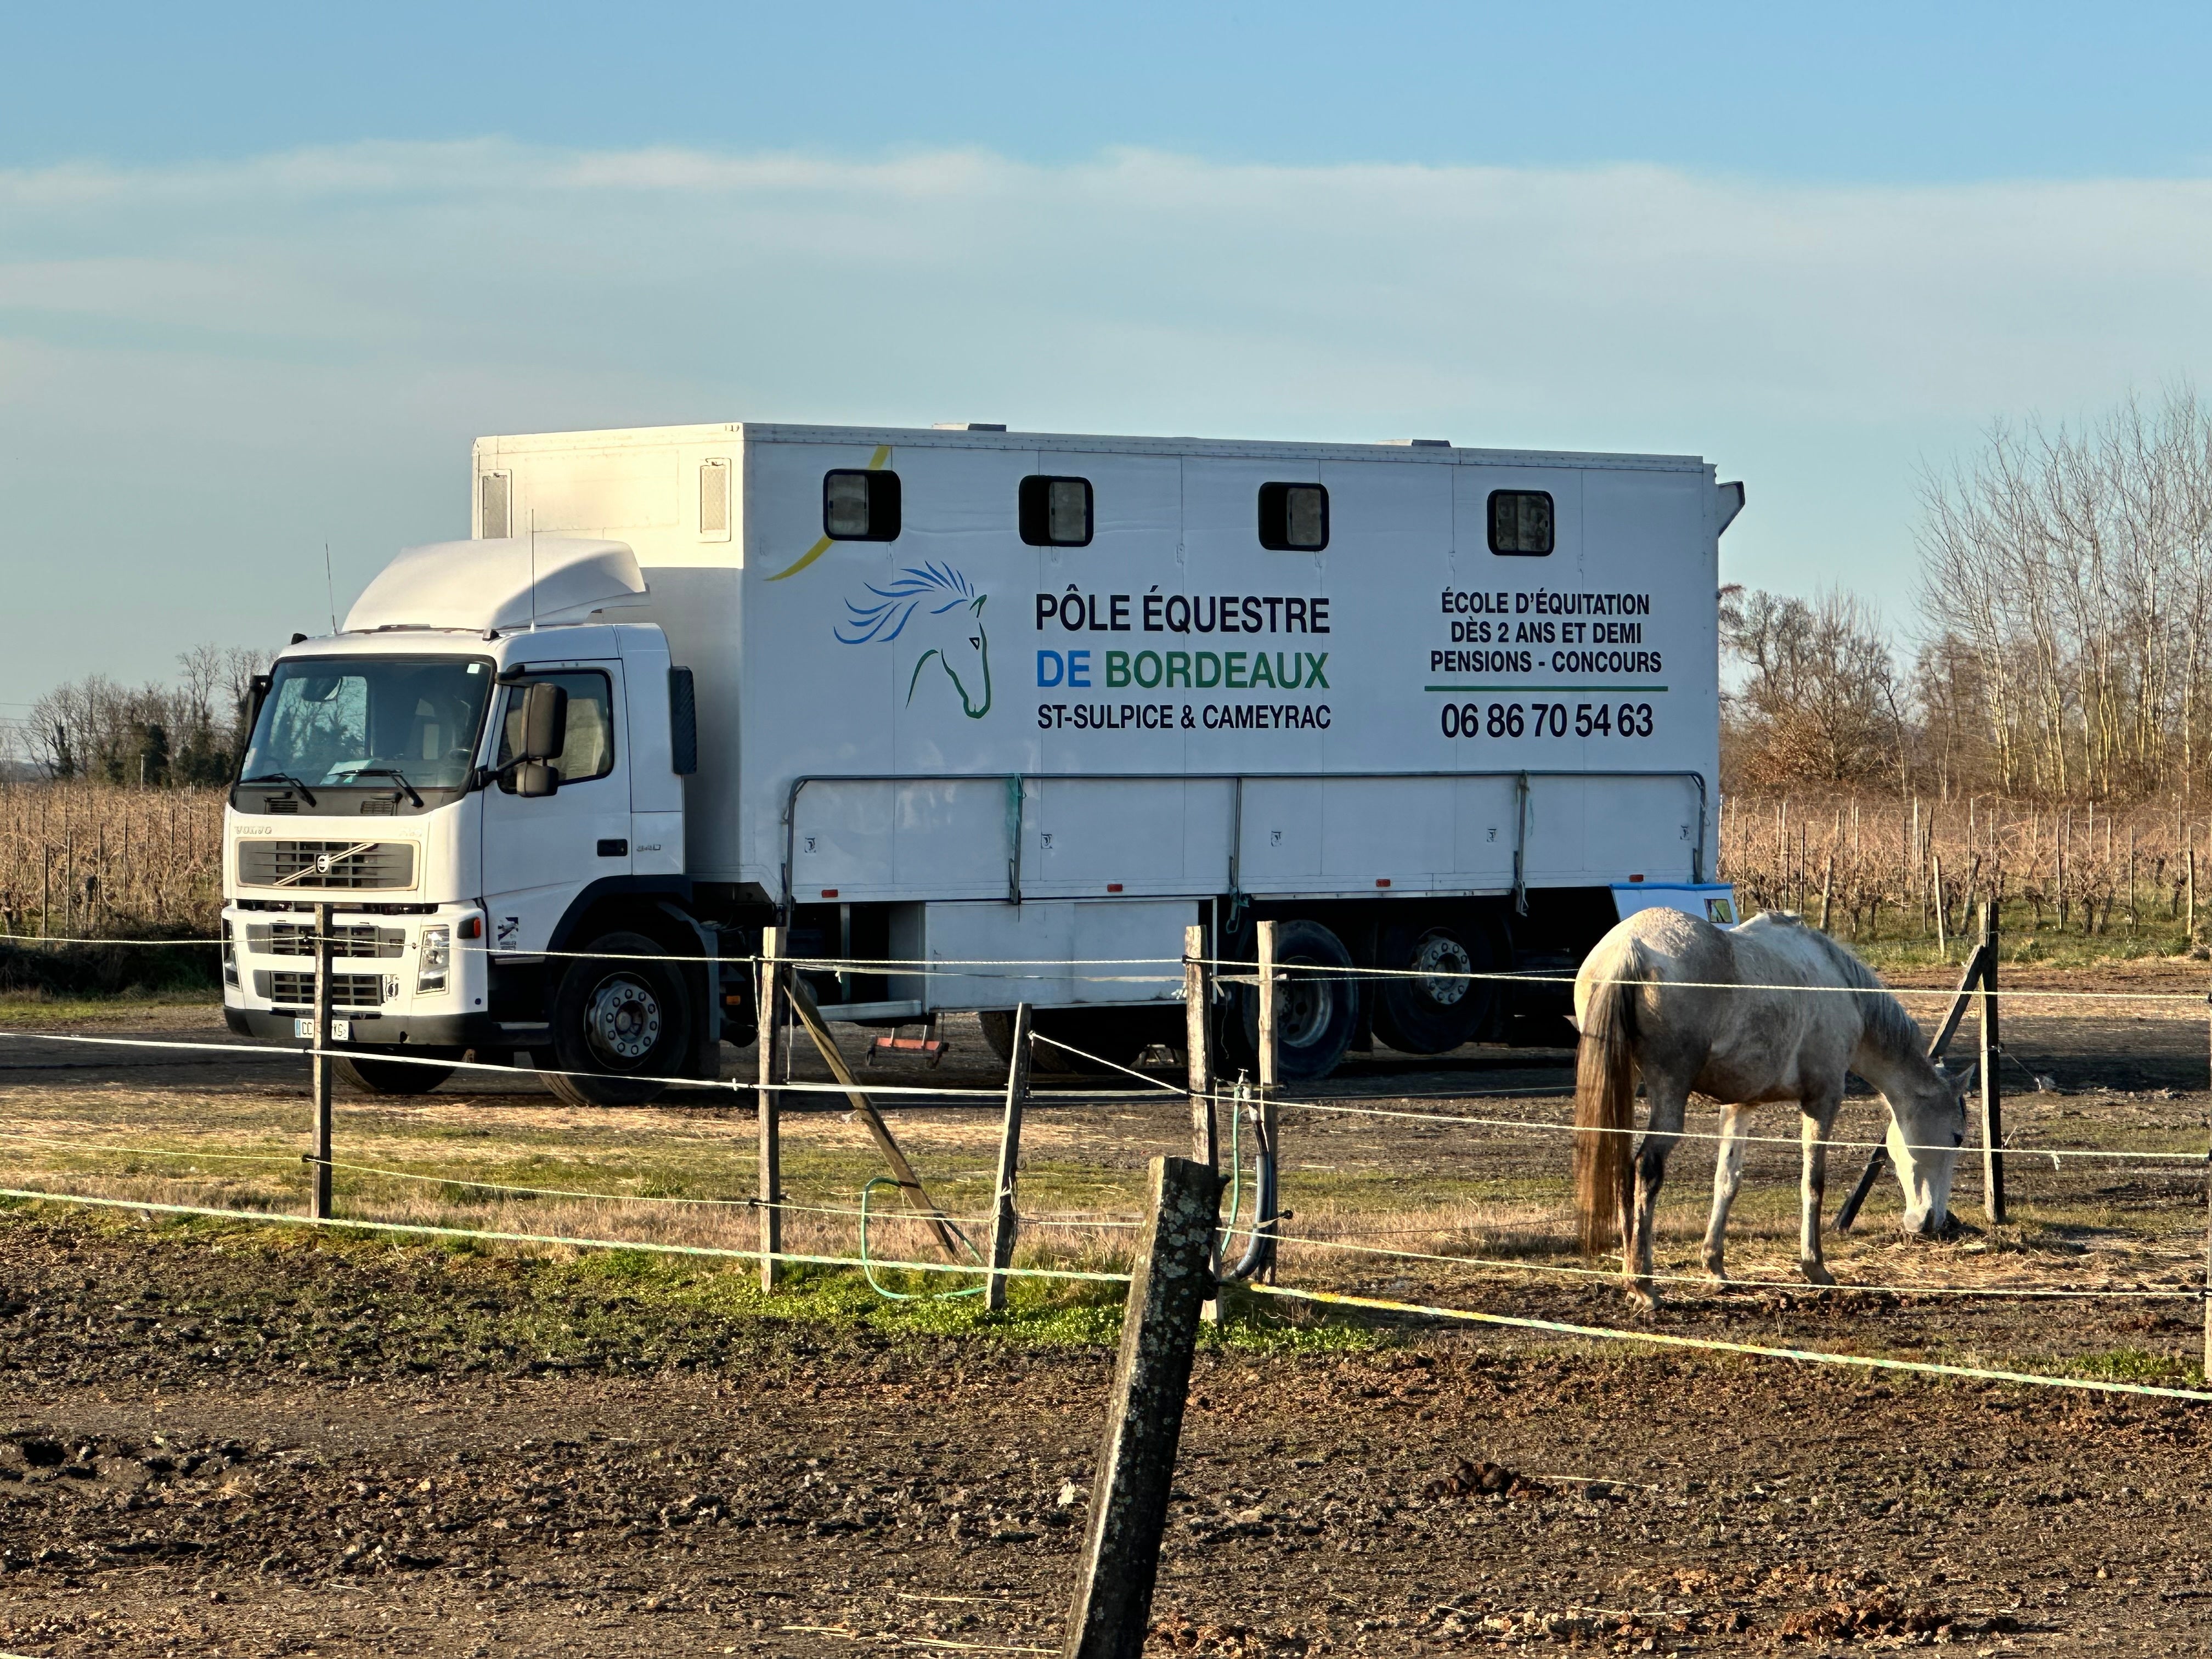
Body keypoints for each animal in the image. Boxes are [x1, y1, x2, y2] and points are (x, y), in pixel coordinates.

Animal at [1571, 906, 1974, 1309]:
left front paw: (1715, 1268)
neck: (1840, 986)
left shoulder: (1739, 1104)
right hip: (1670, 1092)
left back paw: (1631, 1274)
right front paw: (1816, 1268)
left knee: (1621, 1165)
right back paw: (1643, 1284)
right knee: (1646, 1169)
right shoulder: (1823, 1099)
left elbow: (1727, 1180)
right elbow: (1813, 1182)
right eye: (1956, 1138)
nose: (1929, 1221)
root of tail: (1630, 947)